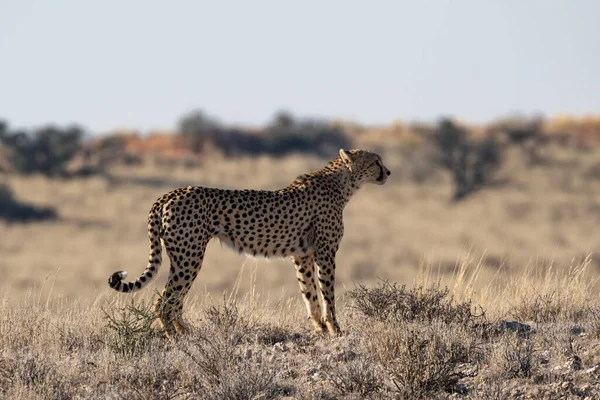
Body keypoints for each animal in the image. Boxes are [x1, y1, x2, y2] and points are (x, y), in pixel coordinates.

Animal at [108, 148, 392, 336]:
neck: (342, 183)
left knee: (174, 299)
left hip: (182, 257)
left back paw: (186, 332)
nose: (388, 172)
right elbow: (327, 293)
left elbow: (309, 293)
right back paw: (175, 336)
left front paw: (320, 328)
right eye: (376, 161)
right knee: (165, 300)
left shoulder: (302, 255)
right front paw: (335, 329)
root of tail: (168, 194)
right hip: (189, 257)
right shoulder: (325, 252)